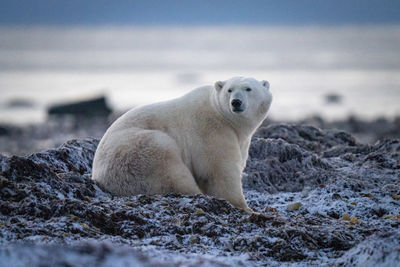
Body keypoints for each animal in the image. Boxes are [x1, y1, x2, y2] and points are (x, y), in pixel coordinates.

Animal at [91, 77, 272, 214]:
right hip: (138, 150)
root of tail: (99, 176)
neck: (222, 115)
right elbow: (220, 170)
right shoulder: (211, 131)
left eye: (248, 88)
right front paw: (247, 208)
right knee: (170, 169)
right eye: (229, 90)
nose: (236, 102)